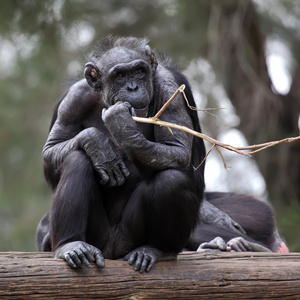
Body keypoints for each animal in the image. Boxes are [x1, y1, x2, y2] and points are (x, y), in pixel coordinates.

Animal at [37, 35, 288, 272]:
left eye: (139, 71)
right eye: (120, 75)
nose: (132, 88)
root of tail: (113, 252)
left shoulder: (170, 89)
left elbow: (176, 150)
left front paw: (121, 124)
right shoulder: (74, 99)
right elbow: (52, 148)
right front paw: (97, 144)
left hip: (130, 237)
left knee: (172, 179)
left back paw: (157, 250)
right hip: (99, 239)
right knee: (77, 158)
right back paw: (72, 246)